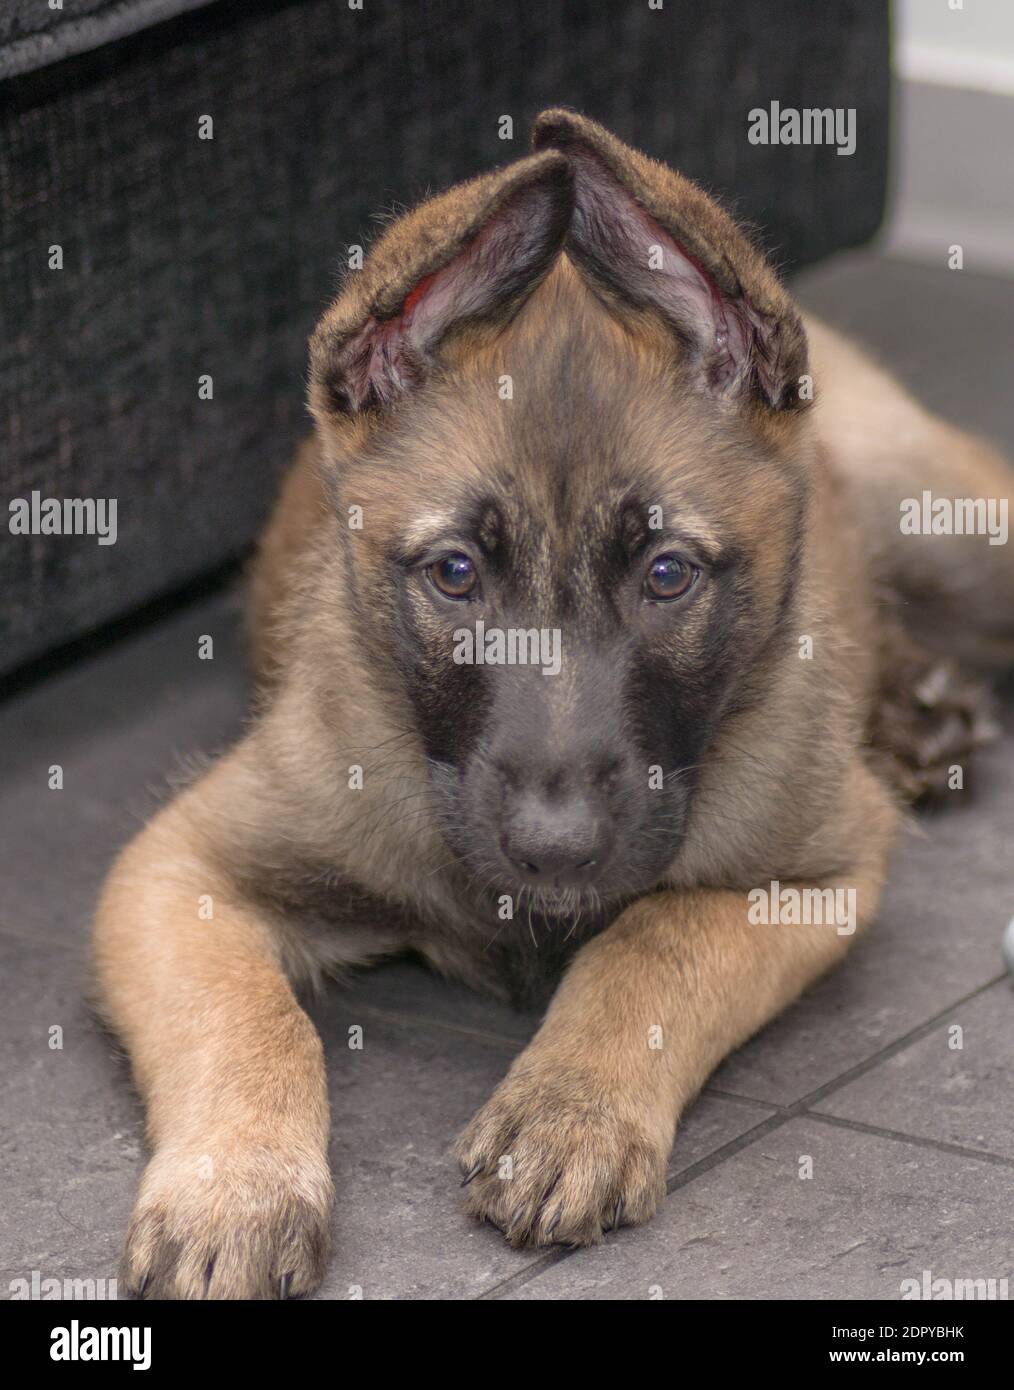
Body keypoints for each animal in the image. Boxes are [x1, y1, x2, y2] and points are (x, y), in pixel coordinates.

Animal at [91, 111, 1007, 1301]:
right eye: (454, 574)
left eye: (667, 574)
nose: (556, 847)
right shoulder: (176, 867)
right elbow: (249, 1019)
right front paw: (234, 1188)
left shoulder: (823, 867)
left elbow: (654, 941)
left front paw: (570, 1112)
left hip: (951, 525)